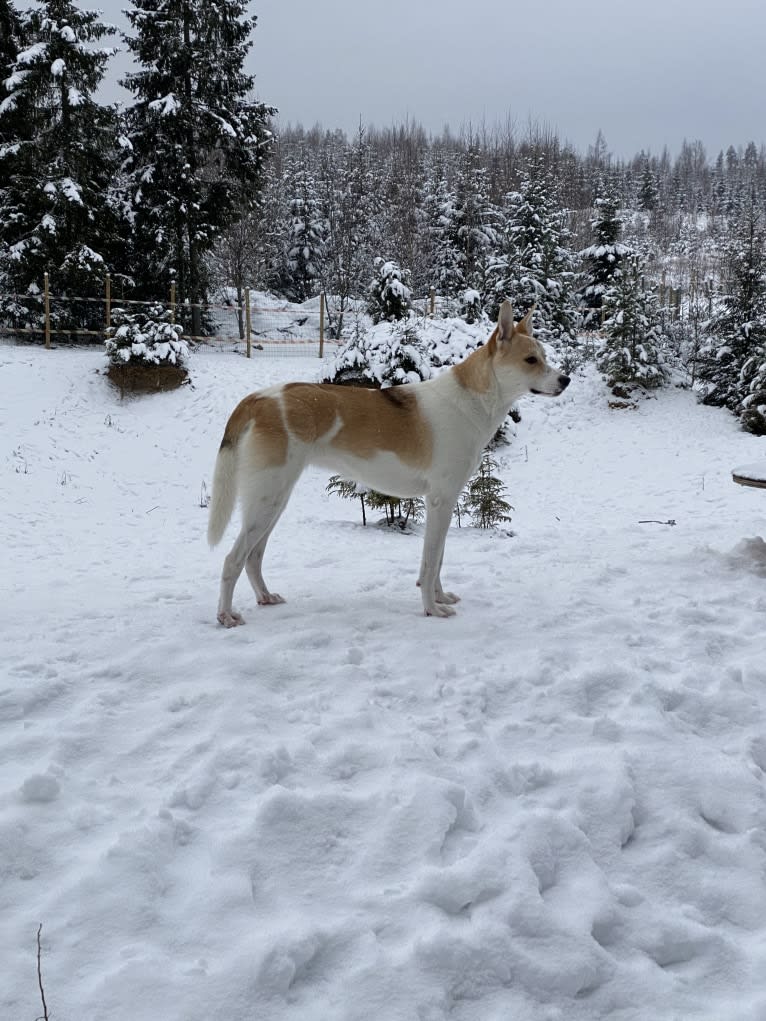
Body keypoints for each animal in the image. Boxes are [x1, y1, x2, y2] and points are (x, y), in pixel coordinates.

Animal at [208, 298, 571, 624]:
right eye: (531, 360)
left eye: (544, 357)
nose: (565, 380)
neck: (471, 401)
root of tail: (258, 399)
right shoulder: (440, 501)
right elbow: (430, 563)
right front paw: (432, 609)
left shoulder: (444, 502)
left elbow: (438, 559)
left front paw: (439, 597)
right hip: (266, 501)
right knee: (232, 559)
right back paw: (225, 615)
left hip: (274, 501)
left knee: (253, 557)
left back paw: (265, 597)